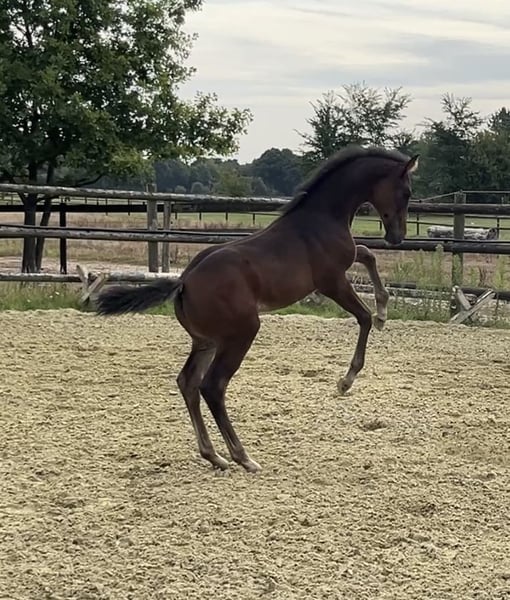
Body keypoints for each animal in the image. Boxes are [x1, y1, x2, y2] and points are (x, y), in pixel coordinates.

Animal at [94, 145, 419, 473]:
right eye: (406, 192)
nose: (397, 237)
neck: (321, 218)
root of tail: (184, 281)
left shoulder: (343, 267)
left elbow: (366, 255)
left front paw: (383, 308)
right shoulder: (331, 281)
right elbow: (363, 316)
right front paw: (346, 378)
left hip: (206, 341)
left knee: (188, 383)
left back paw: (214, 455)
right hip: (242, 333)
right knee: (212, 386)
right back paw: (243, 457)